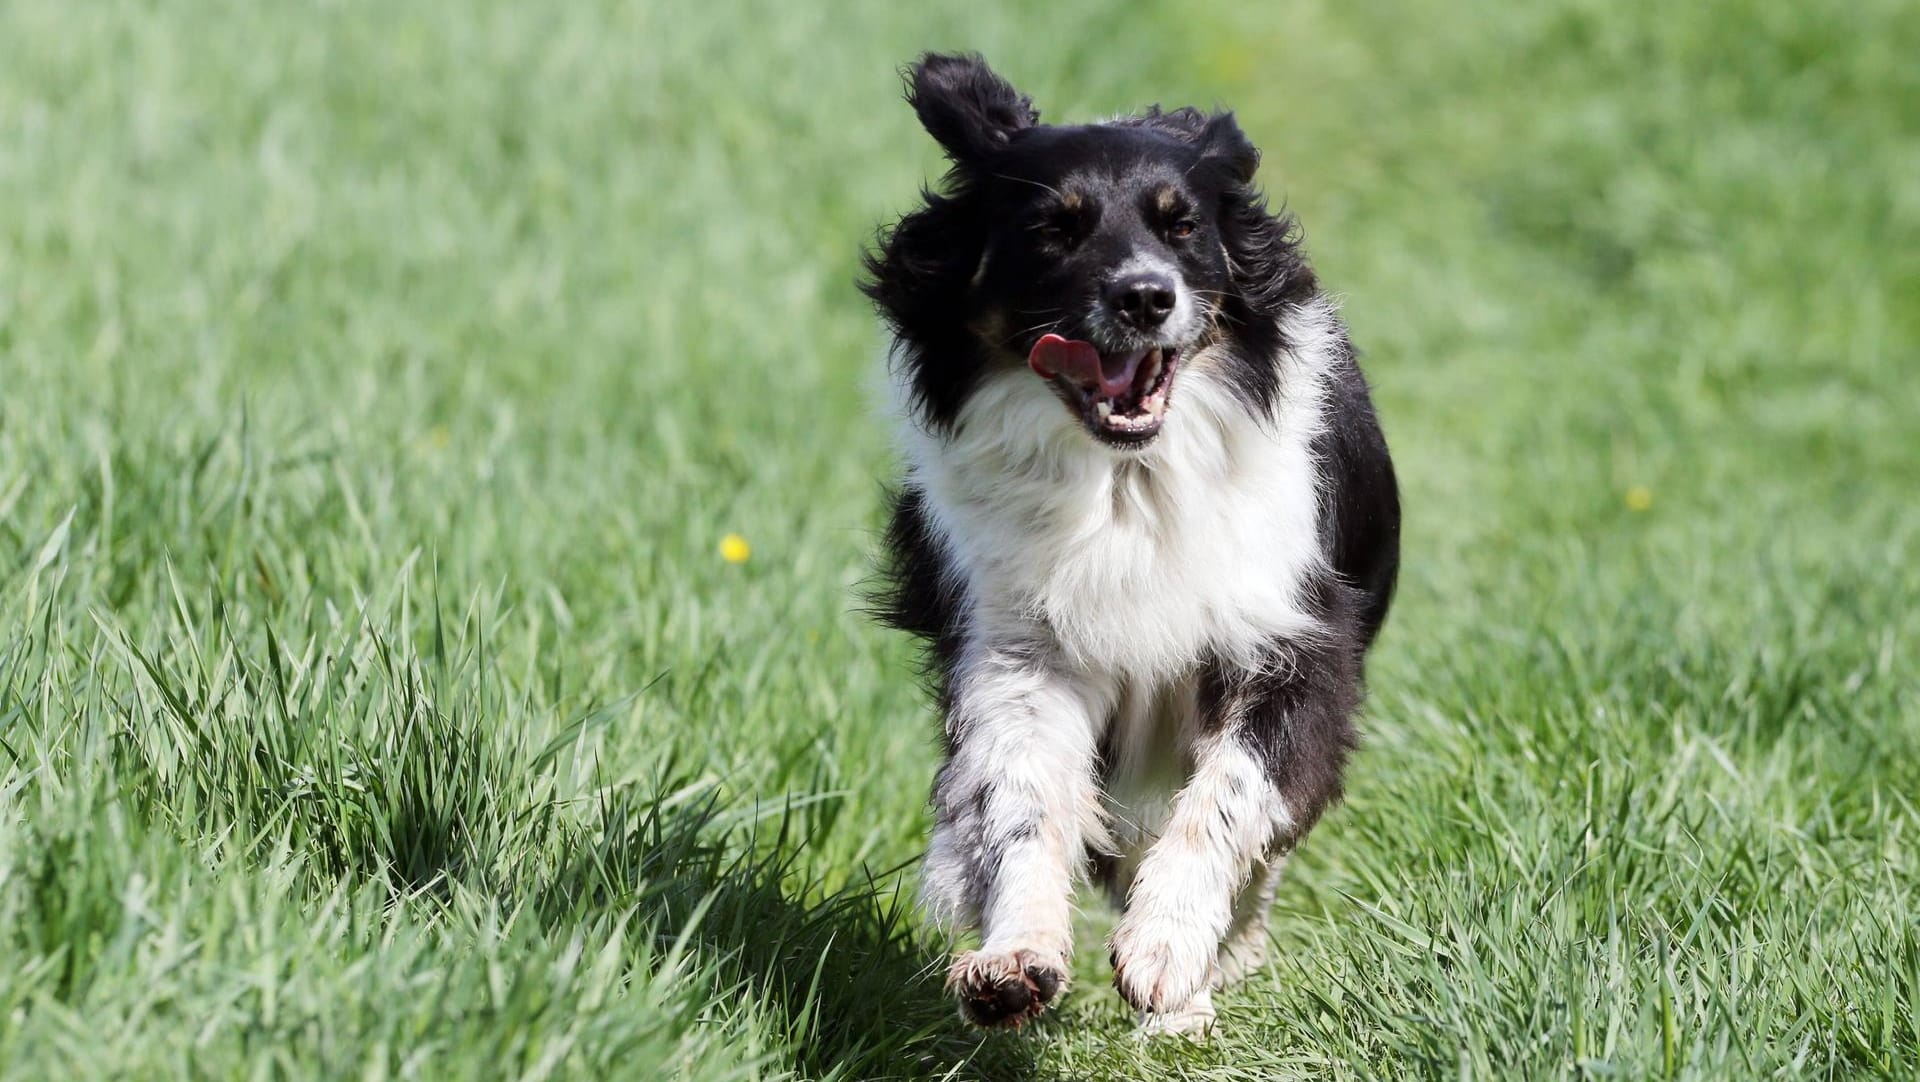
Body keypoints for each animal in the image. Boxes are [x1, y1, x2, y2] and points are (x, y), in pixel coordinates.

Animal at [867, 54, 1397, 1035]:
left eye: (1181, 224)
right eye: (1054, 228)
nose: (1146, 296)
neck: (1126, 478)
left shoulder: (1290, 637)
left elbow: (1231, 797)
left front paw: (1167, 951)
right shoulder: (1018, 644)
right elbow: (1022, 798)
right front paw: (1014, 957)